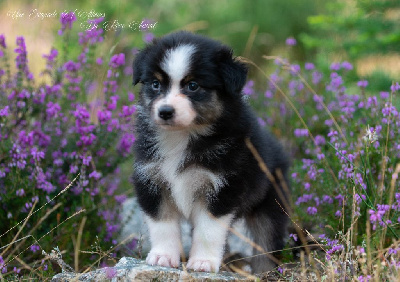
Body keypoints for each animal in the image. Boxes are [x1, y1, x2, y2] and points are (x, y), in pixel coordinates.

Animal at [133, 30, 290, 274]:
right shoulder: (151, 180)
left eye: (193, 86)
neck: (182, 137)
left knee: (266, 241)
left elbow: (208, 229)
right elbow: (162, 224)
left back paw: (265, 272)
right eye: (156, 84)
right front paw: (162, 257)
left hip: (271, 201)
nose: (165, 111)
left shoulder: (223, 186)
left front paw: (203, 262)